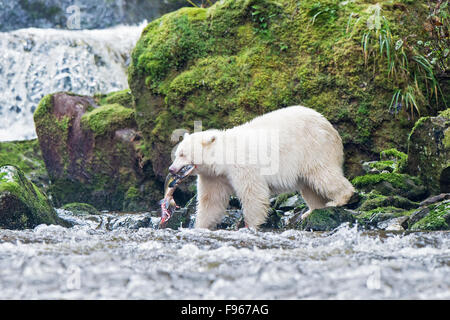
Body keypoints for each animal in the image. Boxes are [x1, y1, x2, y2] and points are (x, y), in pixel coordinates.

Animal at [169, 106, 356, 229]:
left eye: (182, 154)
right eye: (177, 153)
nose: (171, 169)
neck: (223, 157)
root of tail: (329, 126)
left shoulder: (243, 165)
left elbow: (253, 194)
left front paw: (250, 226)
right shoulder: (213, 176)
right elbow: (211, 201)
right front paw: (199, 227)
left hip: (314, 148)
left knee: (322, 174)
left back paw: (338, 199)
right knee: (309, 186)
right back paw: (312, 210)